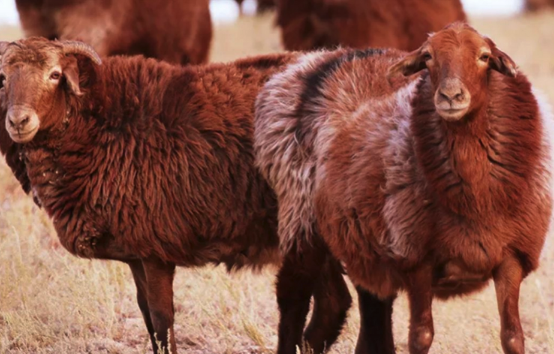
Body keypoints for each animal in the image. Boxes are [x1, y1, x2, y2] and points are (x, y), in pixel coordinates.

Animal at [0, 38, 350, 354]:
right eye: (2, 77)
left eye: (55, 74)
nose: (18, 121)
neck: (99, 124)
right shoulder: (135, 254)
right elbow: (147, 318)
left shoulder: (156, 250)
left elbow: (161, 320)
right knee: (333, 305)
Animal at [256, 22, 552, 354]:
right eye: (428, 57)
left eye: (484, 56)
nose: (451, 96)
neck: (476, 198)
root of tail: (330, 56)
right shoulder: (416, 257)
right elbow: (420, 336)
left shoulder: (511, 257)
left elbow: (513, 337)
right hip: (301, 219)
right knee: (292, 297)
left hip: (362, 239)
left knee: (372, 303)